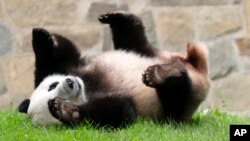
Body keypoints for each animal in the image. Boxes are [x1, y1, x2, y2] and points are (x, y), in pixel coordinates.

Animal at [17, 11, 210, 127]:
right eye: (56, 94)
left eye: (52, 85)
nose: (70, 82)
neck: (87, 88)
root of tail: (199, 71)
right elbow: (122, 112)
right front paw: (65, 110)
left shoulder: (70, 67)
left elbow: (62, 55)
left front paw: (41, 38)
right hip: (179, 105)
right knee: (176, 96)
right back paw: (162, 75)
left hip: (151, 53)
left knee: (133, 39)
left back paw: (118, 18)